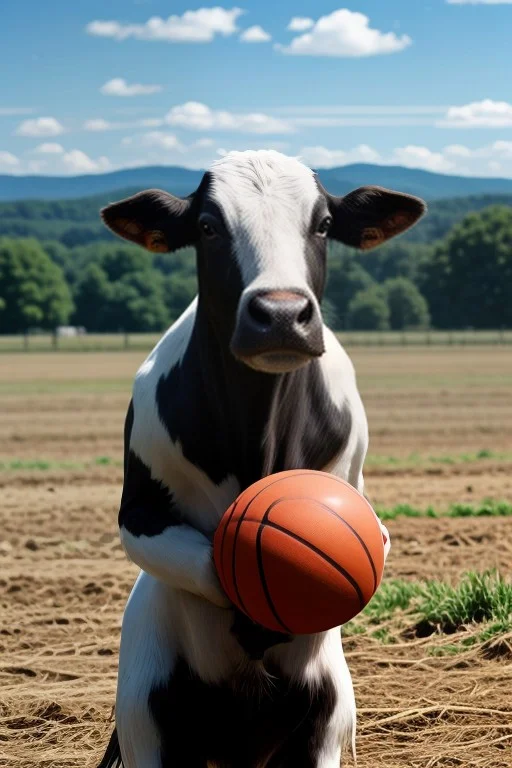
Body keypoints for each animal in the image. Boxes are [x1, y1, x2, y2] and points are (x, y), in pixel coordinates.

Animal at [96, 150, 426, 768]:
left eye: (324, 223)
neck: (258, 433)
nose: (279, 314)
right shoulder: (139, 517)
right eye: (207, 226)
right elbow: (204, 561)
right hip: (149, 716)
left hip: (321, 718)